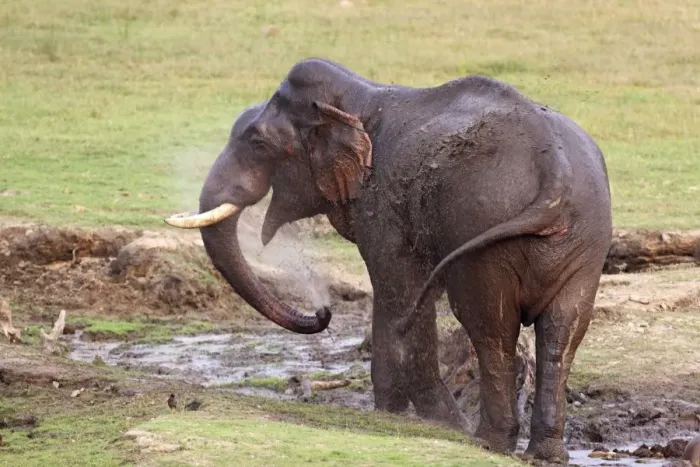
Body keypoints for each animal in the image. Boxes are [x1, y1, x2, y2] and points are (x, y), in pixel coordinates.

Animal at [165, 58, 612, 462]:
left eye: (257, 143)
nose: (322, 311)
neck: (357, 97)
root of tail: (555, 172)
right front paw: (406, 418)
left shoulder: (380, 204)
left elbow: (397, 291)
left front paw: (419, 422)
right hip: (585, 240)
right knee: (563, 330)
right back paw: (545, 454)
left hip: (486, 232)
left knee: (488, 326)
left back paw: (486, 442)